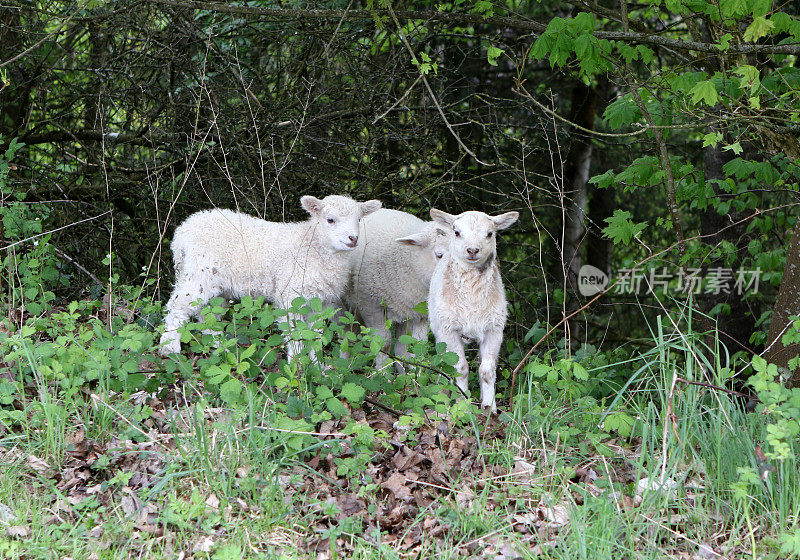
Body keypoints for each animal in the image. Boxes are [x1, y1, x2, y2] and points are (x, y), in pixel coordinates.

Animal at [159, 195, 382, 356]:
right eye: (330, 220)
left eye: (359, 219)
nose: (353, 238)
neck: (312, 246)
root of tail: (182, 232)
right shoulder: (290, 296)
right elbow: (295, 334)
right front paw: (297, 366)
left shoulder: (319, 302)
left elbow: (314, 335)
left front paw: (317, 367)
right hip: (199, 273)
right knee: (178, 306)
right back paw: (169, 347)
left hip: (215, 284)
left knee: (207, 314)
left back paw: (220, 344)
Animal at [346, 210, 450, 372]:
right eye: (439, 255)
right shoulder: (370, 306)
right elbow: (383, 343)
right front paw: (383, 373)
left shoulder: (419, 315)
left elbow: (415, 346)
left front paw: (413, 375)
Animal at [432, 208, 520, 410]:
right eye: (457, 232)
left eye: (490, 233)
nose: (472, 250)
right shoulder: (450, 329)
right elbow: (460, 368)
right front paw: (462, 404)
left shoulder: (494, 329)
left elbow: (487, 370)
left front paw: (490, 407)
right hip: (438, 328)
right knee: (443, 360)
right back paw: (442, 392)